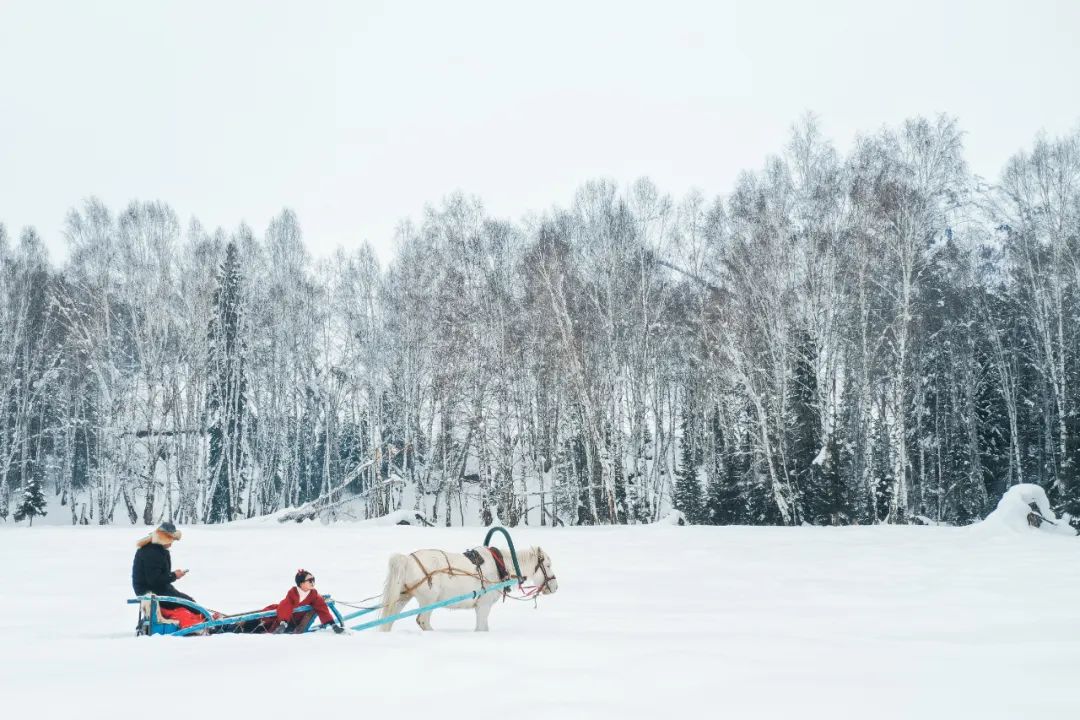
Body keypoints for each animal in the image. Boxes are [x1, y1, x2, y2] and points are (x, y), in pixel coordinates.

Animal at [378, 546, 557, 630]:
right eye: (548, 565)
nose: (555, 586)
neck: (501, 566)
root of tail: (407, 560)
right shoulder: (483, 605)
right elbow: (481, 628)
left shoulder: (480, 607)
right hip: (428, 600)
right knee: (423, 621)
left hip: (402, 596)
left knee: (389, 619)